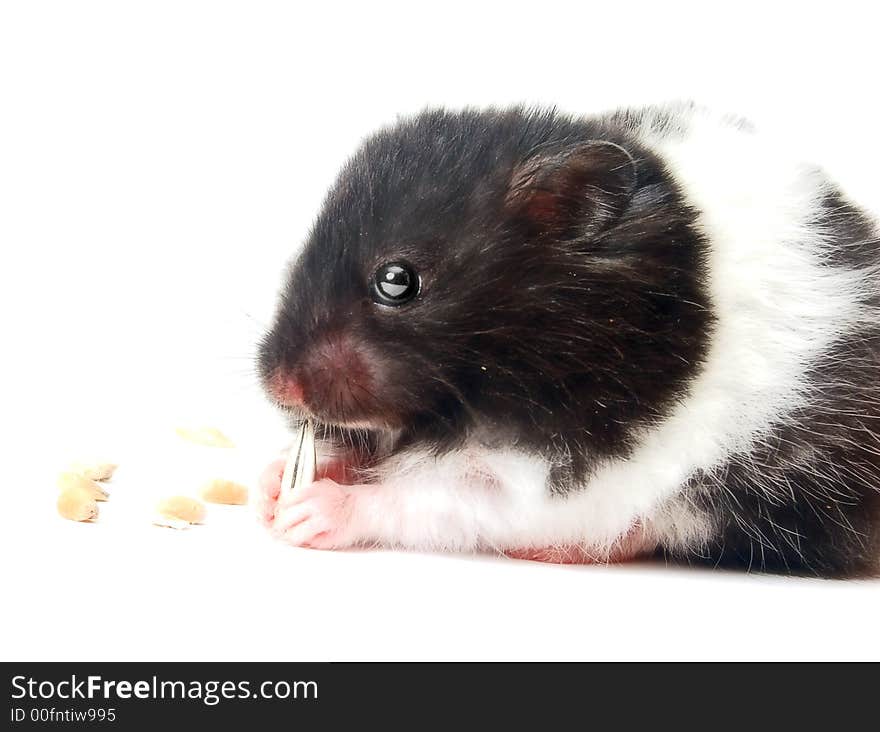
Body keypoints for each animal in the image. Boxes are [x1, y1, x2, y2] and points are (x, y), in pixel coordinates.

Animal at [254, 103, 880, 580]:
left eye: (396, 280)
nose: (278, 387)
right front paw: (272, 486)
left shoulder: (551, 472)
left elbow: (438, 497)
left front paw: (310, 511)